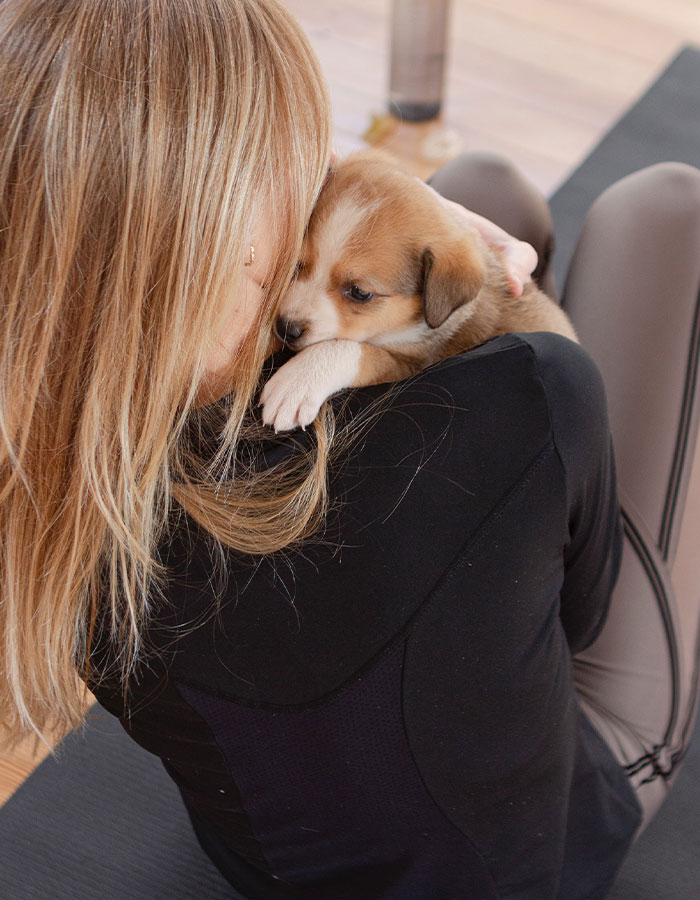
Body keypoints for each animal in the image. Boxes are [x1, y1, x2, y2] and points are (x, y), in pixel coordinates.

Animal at [260, 150, 576, 432]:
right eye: (297, 265)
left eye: (360, 293)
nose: (285, 328)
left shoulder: (411, 363)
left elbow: (349, 349)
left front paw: (296, 383)